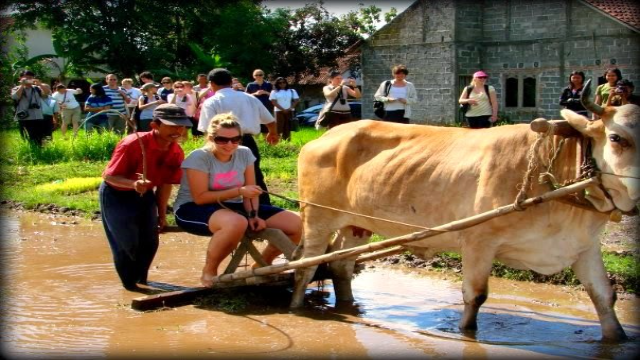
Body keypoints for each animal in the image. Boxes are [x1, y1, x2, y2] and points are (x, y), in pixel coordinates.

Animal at [292, 85, 636, 344]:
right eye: (616, 137)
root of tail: (326, 136)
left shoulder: (584, 246)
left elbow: (604, 297)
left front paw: (616, 338)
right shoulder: (479, 241)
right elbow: (475, 297)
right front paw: (467, 334)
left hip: (353, 224)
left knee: (340, 266)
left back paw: (349, 307)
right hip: (317, 218)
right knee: (304, 267)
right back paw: (297, 309)